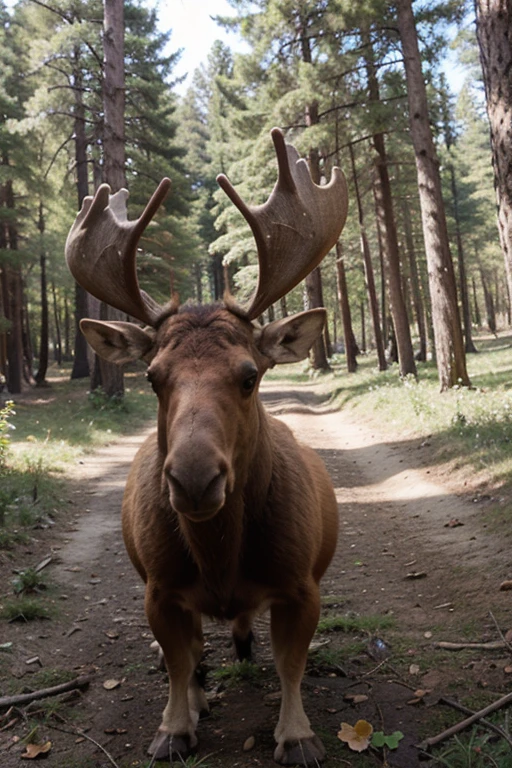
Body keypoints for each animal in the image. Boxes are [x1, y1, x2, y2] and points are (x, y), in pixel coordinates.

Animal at [65, 129, 348, 764]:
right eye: (152, 377)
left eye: (249, 375)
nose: (194, 479)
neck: (220, 554)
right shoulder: (158, 589)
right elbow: (177, 663)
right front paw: (173, 727)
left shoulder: (302, 584)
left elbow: (291, 665)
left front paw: (298, 734)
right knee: (193, 655)